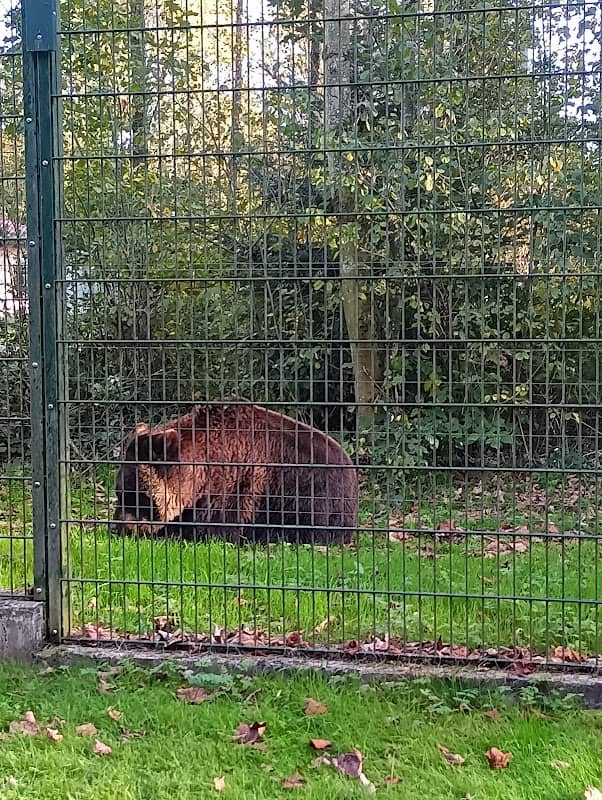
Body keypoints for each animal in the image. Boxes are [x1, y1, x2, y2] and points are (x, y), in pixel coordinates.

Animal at [110, 403, 358, 545]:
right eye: (119, 493)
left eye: (136, 496)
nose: (116, 528)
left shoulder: (235, 482)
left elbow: (216, 528)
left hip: (313, 496)